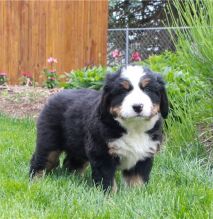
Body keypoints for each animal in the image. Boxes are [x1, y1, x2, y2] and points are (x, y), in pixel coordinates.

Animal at [29, 65, 168, 192]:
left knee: (72, 163)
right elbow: (106, 180)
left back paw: (74, 179)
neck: (134, 128)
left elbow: (137, 180)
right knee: (41, 160)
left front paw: (137, 195)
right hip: (49, 140)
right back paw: (36, 181)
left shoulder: (144, 154)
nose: (138, 106)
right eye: (123, 91)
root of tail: (57, 94)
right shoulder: (102, 153)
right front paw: (109, 197)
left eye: (148, 89)